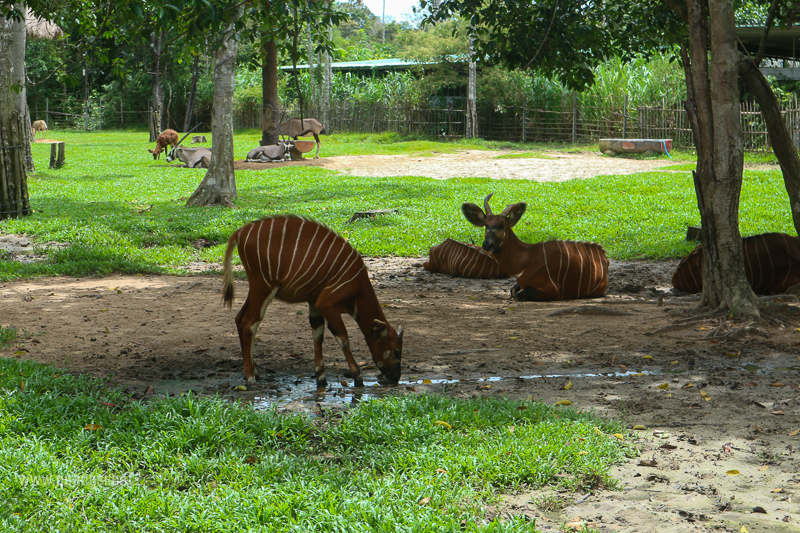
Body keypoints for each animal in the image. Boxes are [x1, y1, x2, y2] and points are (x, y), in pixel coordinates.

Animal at [220, 214, 404, 388]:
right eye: (396, 351)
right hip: (264, 287)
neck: (358, 285)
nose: (396, 378)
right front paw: (358, 378)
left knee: (239, 318)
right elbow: (343, 338)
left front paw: (321, 378)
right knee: (249, 323)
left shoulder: (314, 302)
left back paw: (254, 371)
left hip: (257, 288)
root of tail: (239, 233)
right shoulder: (327, 304)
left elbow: (317, 334)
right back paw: (250, 378)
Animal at [460, 192, 608, 302]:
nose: (487, 245)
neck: (526, 259)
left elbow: (518, 294)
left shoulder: (552, 290)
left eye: (502, 225)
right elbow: (513, 290)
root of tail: (604, 257)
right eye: (486, 225)